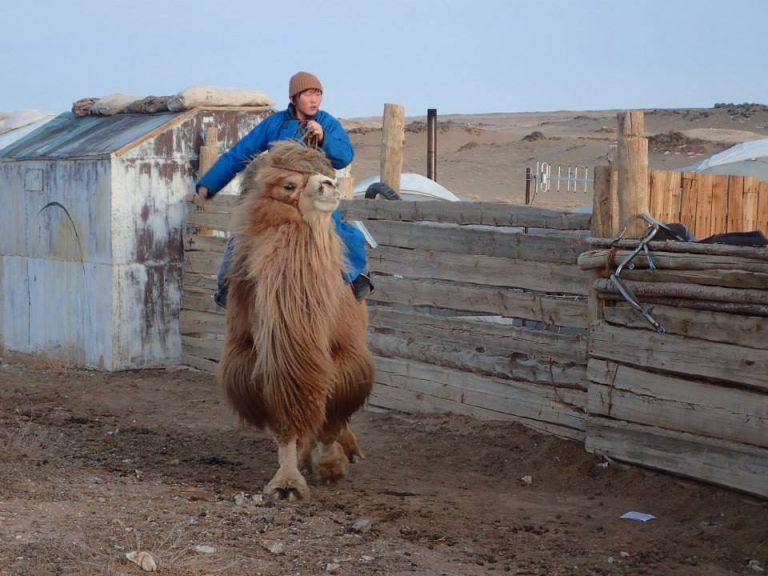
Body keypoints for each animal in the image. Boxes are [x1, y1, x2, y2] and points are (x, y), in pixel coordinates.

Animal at [218, 142, 374, 501]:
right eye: (288, 185)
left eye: (326, 171)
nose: (328, 185)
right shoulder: (254, 360)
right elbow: (285, 416)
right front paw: (287, 482)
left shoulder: (347, 354)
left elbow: (334, 409)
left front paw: (330, 464)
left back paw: (350, 451)